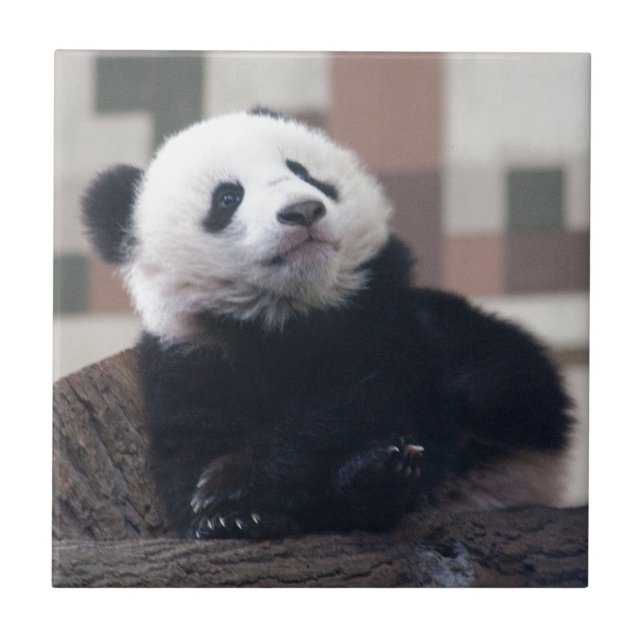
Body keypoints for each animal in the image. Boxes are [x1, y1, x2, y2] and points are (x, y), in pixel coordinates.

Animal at [83, 108, 572, 539]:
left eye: (305, 172)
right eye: (227, 197)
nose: (302, 210)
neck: (290, 315)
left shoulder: (386, 316)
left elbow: (376, 396)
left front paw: (233, 481)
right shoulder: (191, 355)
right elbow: (187, 448)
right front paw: (226, 516)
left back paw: (378, 476)